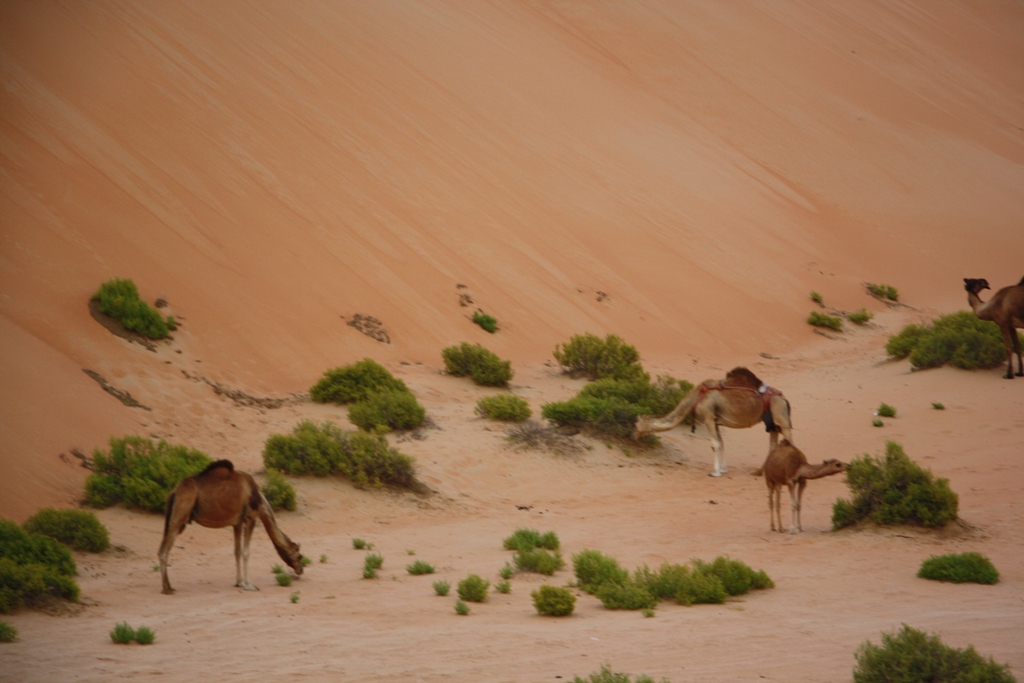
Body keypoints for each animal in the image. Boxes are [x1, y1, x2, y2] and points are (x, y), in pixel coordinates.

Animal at [157, 458, 303, 593]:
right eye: (299, 556)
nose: (300, 570)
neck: (260, 500)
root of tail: (174, 492)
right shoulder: (251, 517)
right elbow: (246, 552)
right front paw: (250, 585)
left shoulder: (237, 522)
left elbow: (237, 551)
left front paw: (239, 582)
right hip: (179, 516)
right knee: (163, 551)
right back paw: (167, 588)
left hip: (174, 518)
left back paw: (168, 586)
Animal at [630, 368, 790, 475]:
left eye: (637, 425)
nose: (633, 435)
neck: (696, 397)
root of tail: (783, 398)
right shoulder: (716, 420)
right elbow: (721, 443)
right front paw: (723, 469)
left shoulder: (708, 416)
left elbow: (714, 444)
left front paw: (715, 472)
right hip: (772, 424)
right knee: (773, 445)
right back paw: (760, 472)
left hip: (780, 415)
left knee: (789, 440)